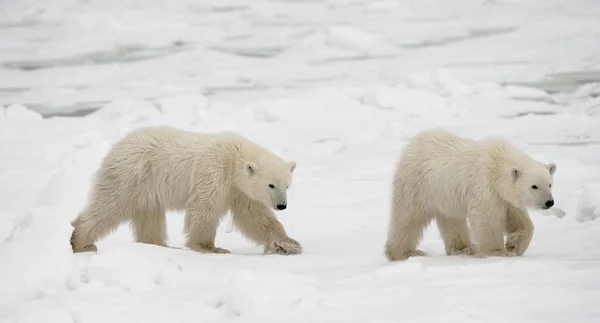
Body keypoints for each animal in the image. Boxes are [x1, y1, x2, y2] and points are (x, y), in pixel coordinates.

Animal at [71, 126, 302, 256]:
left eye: (287, 185)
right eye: (271, 185)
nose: (282, 205)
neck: (233, 156)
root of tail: (118, 146)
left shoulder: (238, 190)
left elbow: (254, 216)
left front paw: (288, 244)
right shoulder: (213, 171)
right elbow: (204, 207)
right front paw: (210, 248)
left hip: (147, 189)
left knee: (149, 217)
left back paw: (160, 245)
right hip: (131, 176)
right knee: (109, 205)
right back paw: (81, 242)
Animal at [384, 128, 556, 260]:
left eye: (549, 184)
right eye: (534, 186)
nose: (549, 202)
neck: (497, 162)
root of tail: (412, 144)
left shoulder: (503, 196)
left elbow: (519, 219)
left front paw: (514, 244)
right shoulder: (484, 185)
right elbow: (487, 219)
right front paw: (498, 252)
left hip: (445, 195)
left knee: (452, 220)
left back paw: (464, 249)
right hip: (418, 184)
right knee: (408, 217)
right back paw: (404, 253)